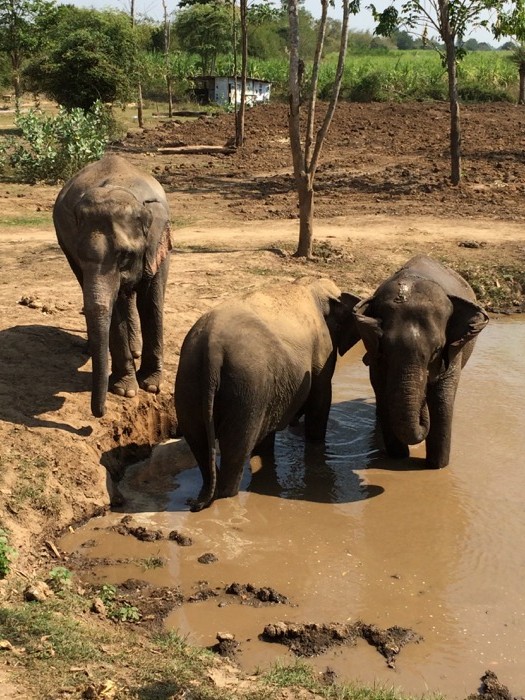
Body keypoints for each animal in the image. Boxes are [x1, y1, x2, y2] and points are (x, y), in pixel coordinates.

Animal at [52, 153, 170, 416]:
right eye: (81, 256)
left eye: (125, 256)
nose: (100, 412)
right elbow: (113, 307)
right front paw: (126, 391)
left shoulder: (157, 245)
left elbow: (151, 301)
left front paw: (151, 386)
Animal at [173, 276, 360, 512]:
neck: (309, 285)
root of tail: (211, 348)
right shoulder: (322, 350)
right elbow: (321, 397)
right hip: (247, 386)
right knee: (236, 446)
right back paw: (226, 496)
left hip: (190, 381)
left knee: (199, 441)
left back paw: (206, 496)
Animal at [352, 254, 488, 468]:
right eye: (385, 349)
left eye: (437, 349)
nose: (422, 410)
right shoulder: (374, 351)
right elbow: (381, 388)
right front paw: (398, 458)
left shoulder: (453, 349)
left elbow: (442, 396)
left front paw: (437, 466)